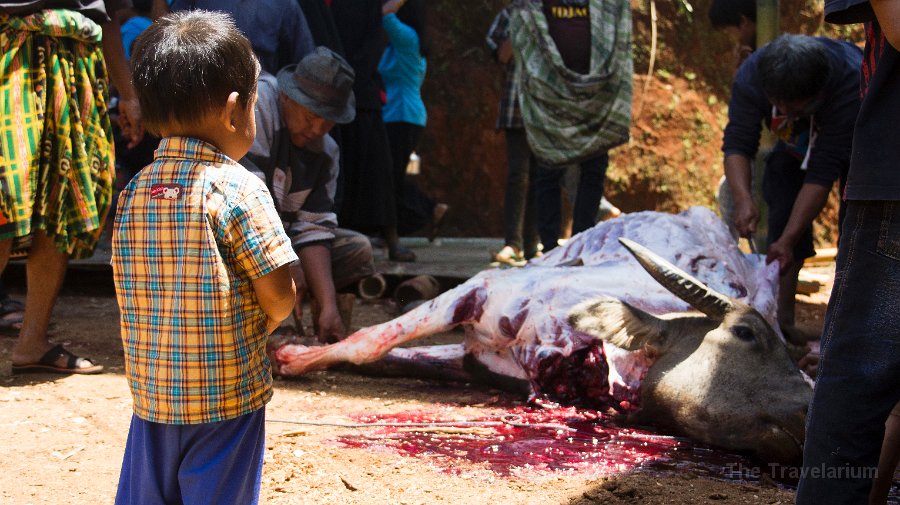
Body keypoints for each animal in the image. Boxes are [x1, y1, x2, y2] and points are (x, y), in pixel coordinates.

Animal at [270, 207, 812, 462]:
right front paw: (293, 355)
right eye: (745, 333)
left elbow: (383, 355)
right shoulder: (484, 289)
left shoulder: (475, 361)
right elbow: (370, 342)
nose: (810, 411)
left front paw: (289, 354)